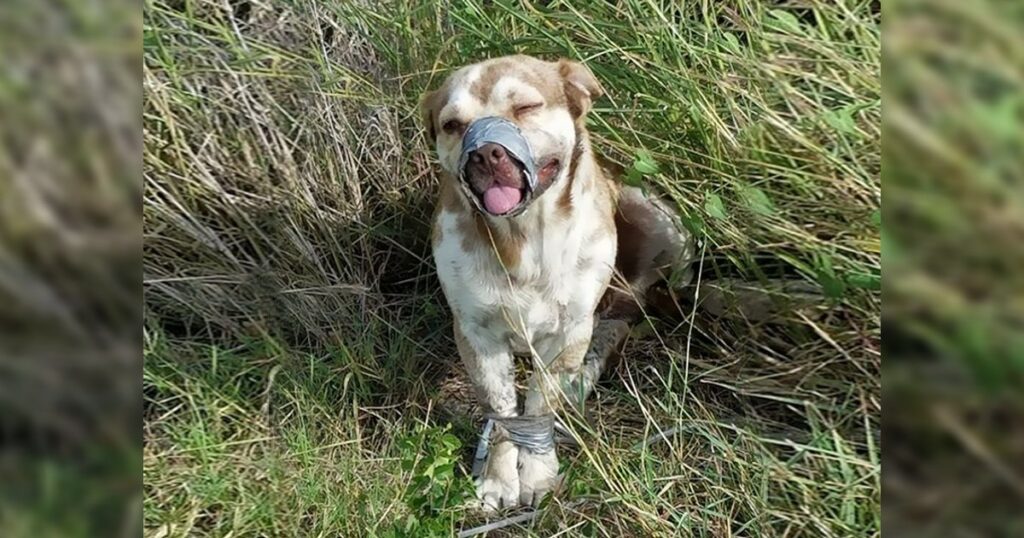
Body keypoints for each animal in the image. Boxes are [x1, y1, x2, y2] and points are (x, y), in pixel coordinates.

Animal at [419, 56, 692, 510]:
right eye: (452, 124)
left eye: (527, 107)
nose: (486, 153)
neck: (524, 239)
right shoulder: (477, 335)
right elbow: (504, 412)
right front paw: (498, 478)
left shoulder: (568, 331)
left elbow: (538, 405)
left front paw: (538, 473)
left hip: (661, 222)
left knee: (623, 316)